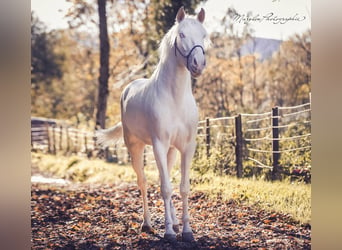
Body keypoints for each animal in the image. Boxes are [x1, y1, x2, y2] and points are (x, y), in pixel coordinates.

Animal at [96, 6, 208, 242]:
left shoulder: (187, 147)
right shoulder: (158, 144)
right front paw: (168, 232)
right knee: (143, 182)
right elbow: (165, 188)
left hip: (170, 152)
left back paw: (174, 221)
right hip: (136, 148)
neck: (175, 98)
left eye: (204, 35)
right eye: (181, 34)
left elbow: (183, 188)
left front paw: (186, 231)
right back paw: (147, 224)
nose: (198, 64)